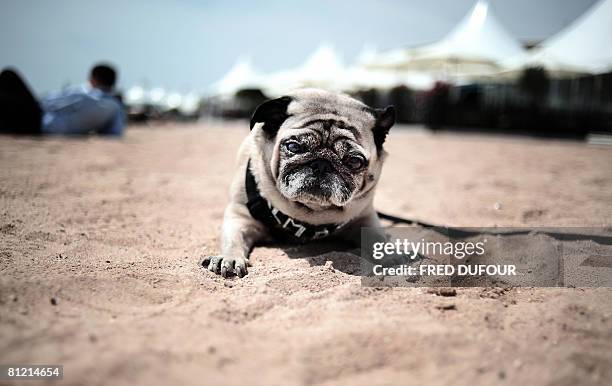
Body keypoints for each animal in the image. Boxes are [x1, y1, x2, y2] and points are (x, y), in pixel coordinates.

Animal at [201, 89, 392, 278]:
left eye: (354, 161)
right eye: (293, 146)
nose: (321, 164)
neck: (309, 215)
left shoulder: (364, 217)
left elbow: (378, 239)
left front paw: (391, 255)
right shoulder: (240, 216)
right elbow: (233, 239)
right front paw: (230, 258)